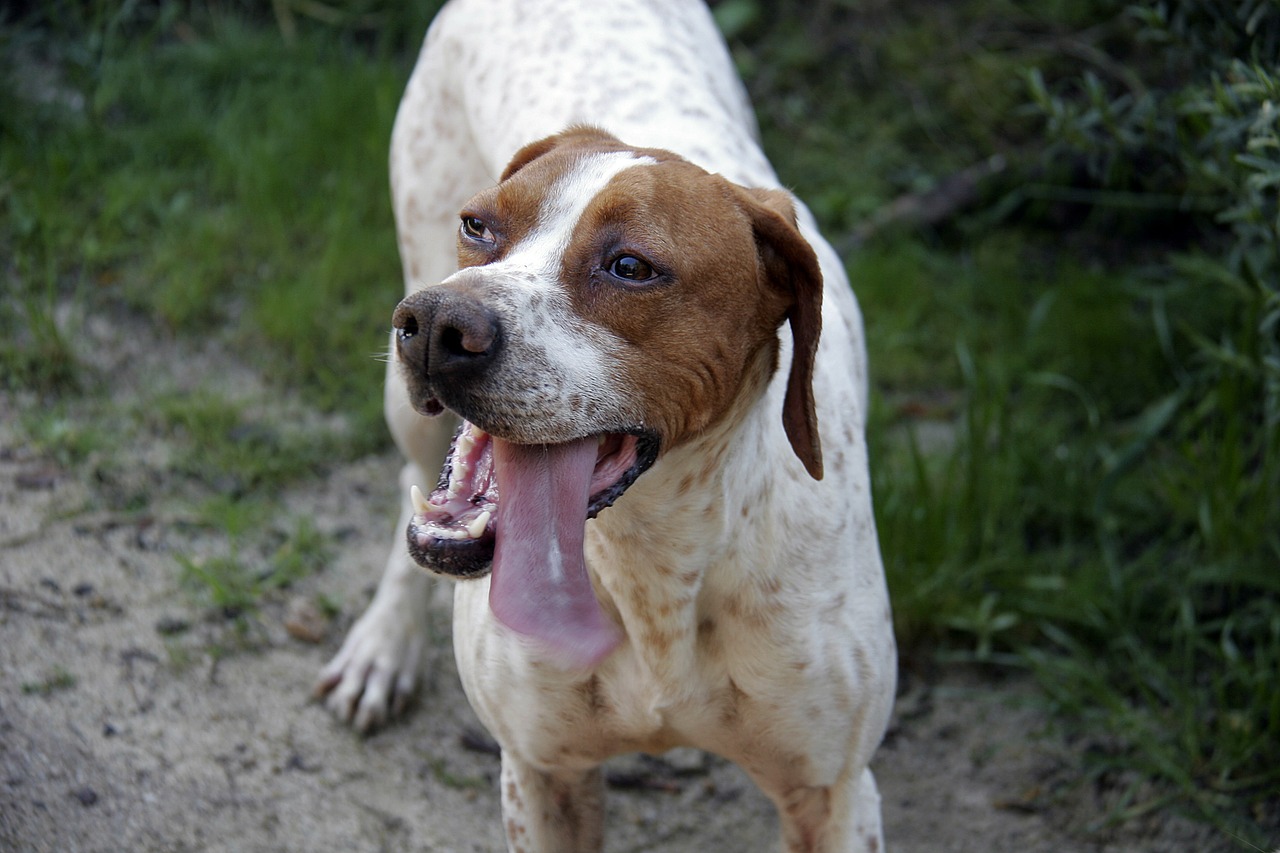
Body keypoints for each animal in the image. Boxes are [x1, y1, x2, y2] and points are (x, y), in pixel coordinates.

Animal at [317, 3, 901, 845]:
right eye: (479, 226)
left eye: (631, 267)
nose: (432, 327)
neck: (653, 559)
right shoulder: (540, 770)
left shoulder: (835, 794)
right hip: (408, 400)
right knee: (412, 492)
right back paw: (383, 644)